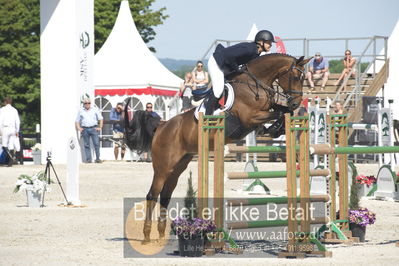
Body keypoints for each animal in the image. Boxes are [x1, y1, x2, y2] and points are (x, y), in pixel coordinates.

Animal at [125, 53, 312, 242]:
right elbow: (279, 112)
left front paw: (276, 127)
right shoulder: (250, 117)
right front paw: (274, 127)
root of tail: (162, 125)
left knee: (165, 195)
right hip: (163, 167)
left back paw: (162, 235)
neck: (255, 85)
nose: (296, 103)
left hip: (177, 167)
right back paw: (147, 235)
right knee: (152, 194)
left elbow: (283, 110)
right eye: (296, 76)